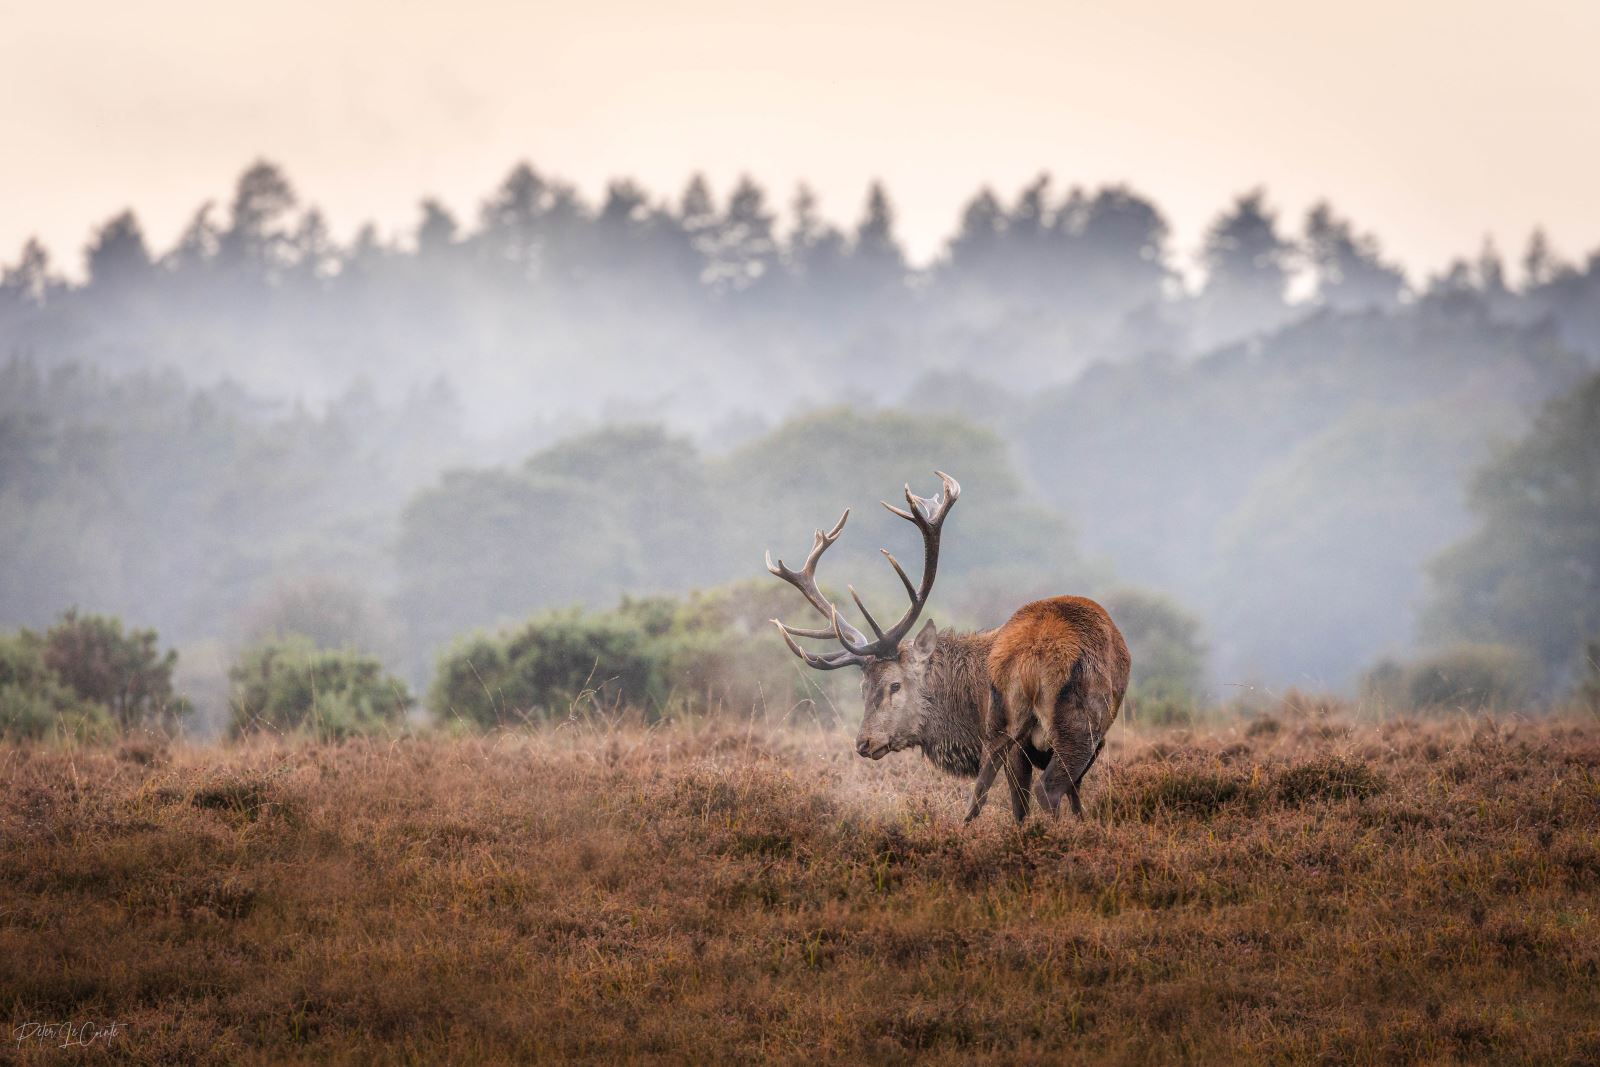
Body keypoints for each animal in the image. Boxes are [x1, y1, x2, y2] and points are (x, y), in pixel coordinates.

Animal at [768, 470, 1132, 825]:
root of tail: (1032, 659)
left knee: (1009, 793)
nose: (864, 743)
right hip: (1072, 726)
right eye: (862, 689)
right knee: (1040, 792)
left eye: (895, 685)